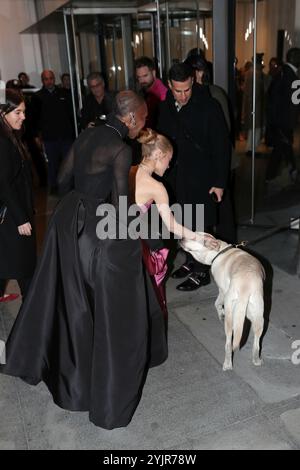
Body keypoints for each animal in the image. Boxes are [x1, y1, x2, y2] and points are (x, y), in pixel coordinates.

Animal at [180, 235, 264, 370]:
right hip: (259, 317)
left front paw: (221, 313)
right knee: (257, 344)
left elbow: (216, 303)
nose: (181, 238)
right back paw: (256, 361)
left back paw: (227, 364)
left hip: (230, 318)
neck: (220, 252)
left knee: (229, 343)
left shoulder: (223, 291)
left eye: (193, 237)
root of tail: (245, 288)